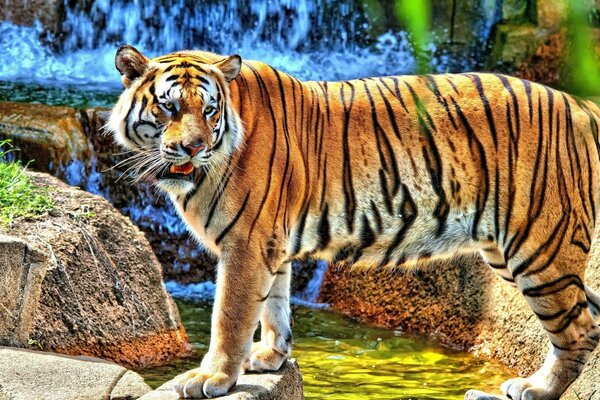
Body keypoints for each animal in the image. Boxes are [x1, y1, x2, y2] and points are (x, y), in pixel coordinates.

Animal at [109, 44, 600, 400]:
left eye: (209, 110)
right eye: (169, 108)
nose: (193, 148)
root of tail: (580, 105)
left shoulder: (246, 244)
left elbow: (229, 316)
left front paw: (212, 378)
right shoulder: (270, 244)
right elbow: (275, 305)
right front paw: (270, 357)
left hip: (538, 248)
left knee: (579, 330)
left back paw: (536, 389)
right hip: (514, 251)